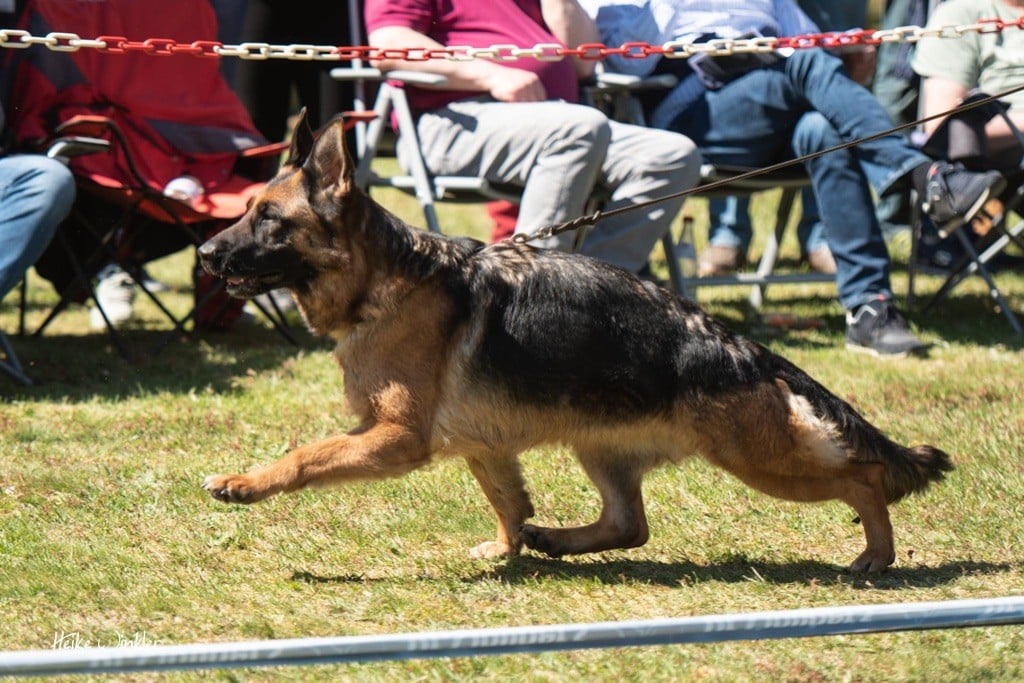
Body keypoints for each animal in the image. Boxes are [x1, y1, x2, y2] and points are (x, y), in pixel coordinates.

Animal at [199, 112, 950, 573]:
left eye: (267, 220)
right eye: (245, 211)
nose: (204, 253)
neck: (387, 282)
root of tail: (737, 346)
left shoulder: (394, 438)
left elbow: (304, 455)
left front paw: (244, 482)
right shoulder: (481, 445)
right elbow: (507, 501)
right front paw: (510, 548)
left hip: (757, 461)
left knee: (864, 477)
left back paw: (876, 555)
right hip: (603, 447)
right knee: (628, 524)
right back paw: (556, 540)